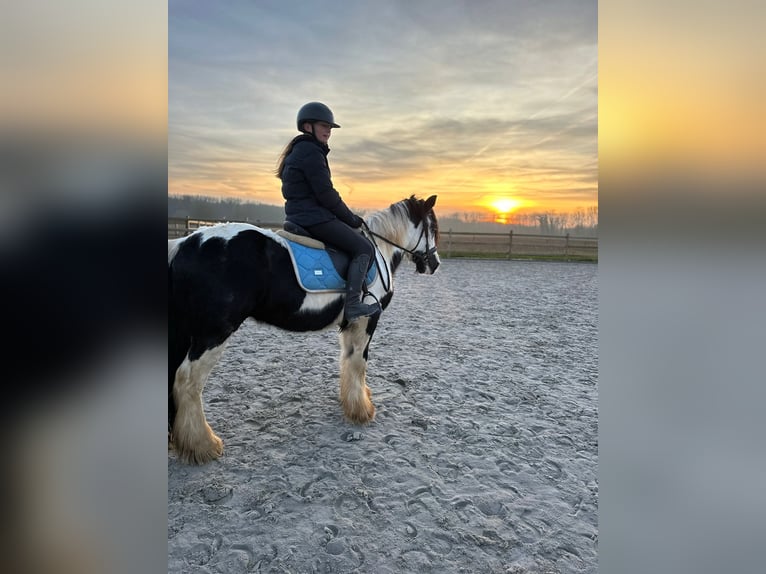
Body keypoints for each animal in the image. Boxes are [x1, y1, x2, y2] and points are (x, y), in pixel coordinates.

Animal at [170, 196, 440, 466]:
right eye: (432, 227)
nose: (435, 264)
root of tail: (184, 245)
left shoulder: (351, 324)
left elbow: (347, 361)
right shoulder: (367, 319)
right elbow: (358, 363)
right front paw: (362, 410)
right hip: (213, 334)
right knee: (188, 381)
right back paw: (203, 445)